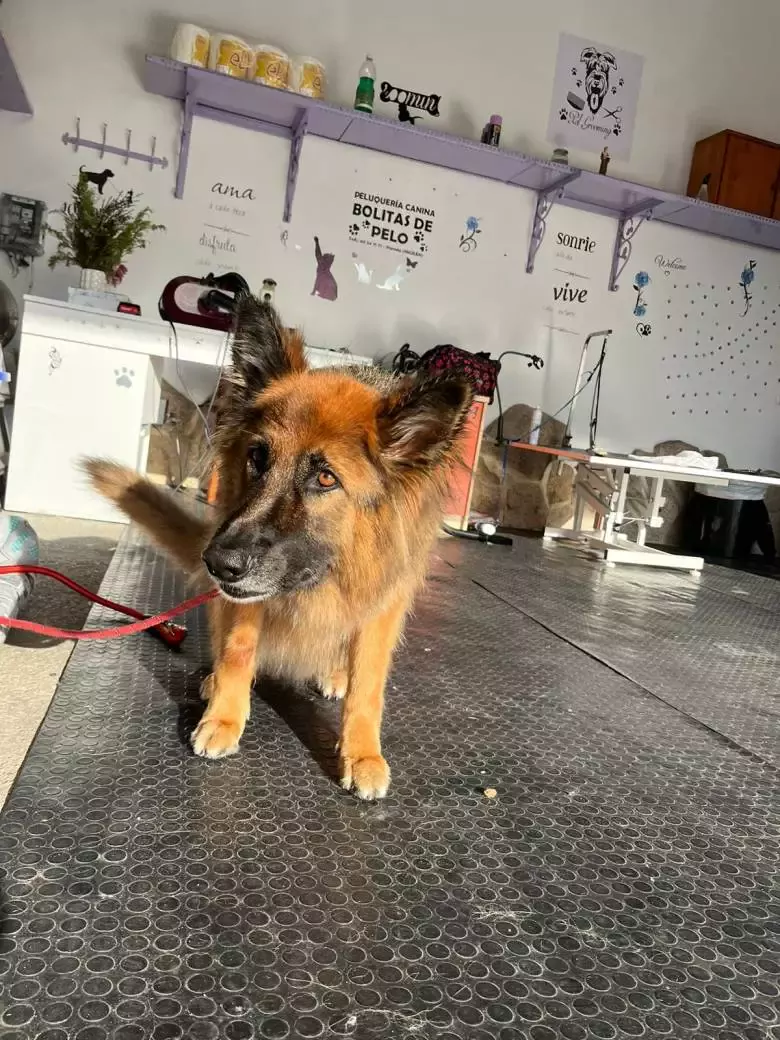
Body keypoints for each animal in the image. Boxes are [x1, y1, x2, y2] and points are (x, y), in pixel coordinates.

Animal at [88, 297, 474, 798]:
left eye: (325, 478)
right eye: (257, 457)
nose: (217, 563)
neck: (318, 578)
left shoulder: (381, 602)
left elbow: (368, 685)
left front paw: (362, 753)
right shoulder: (245, 596)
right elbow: (237, 649)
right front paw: (225, 717)